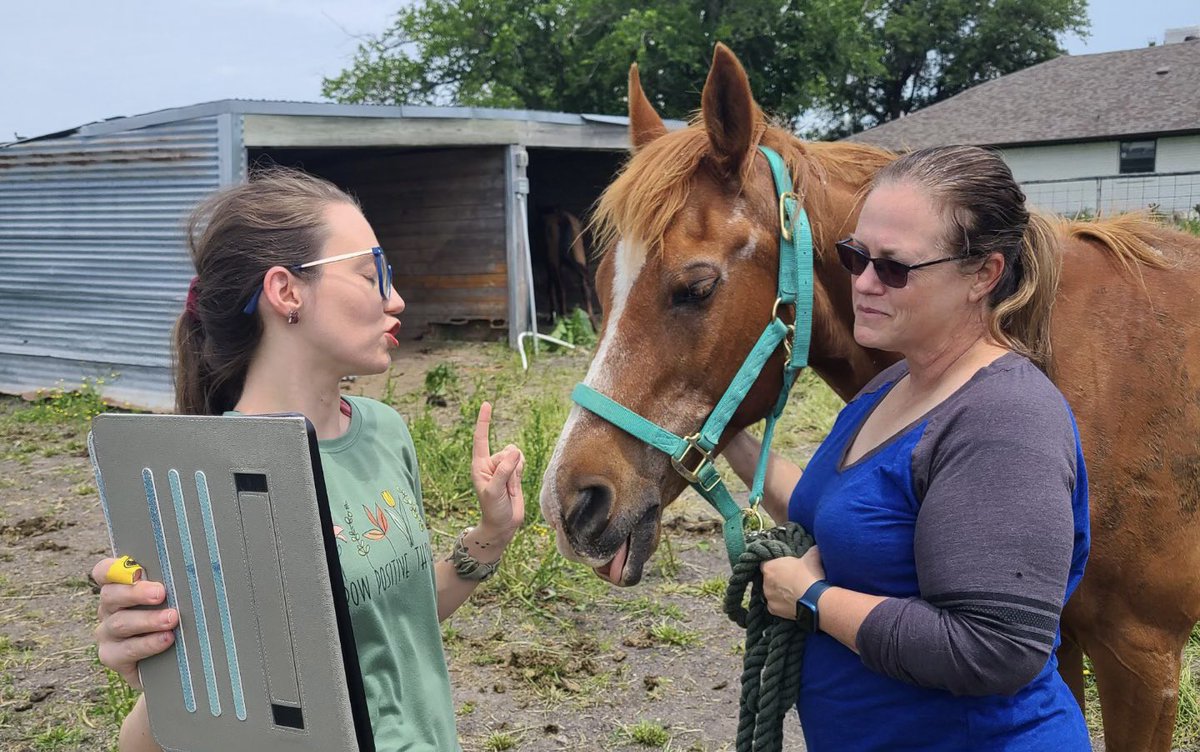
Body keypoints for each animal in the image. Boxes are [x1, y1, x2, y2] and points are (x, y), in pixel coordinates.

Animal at [538, 44, 1200, 751]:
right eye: (600, 286)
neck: (1077, 370)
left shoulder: (1142, 655)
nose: (568, 503)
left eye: (696, 287)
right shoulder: (1060, 640)